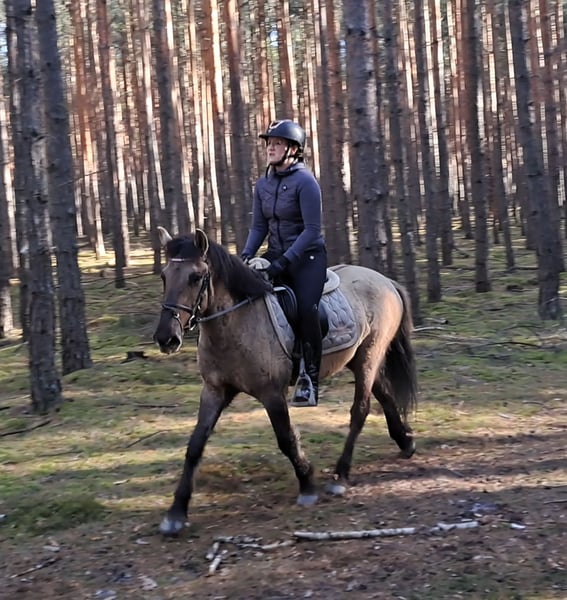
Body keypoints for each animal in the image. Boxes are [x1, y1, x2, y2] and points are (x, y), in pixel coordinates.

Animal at [153, 227, 418, 535]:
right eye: (164, 276)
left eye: (195, 277)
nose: (166, 338)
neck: (236, 320)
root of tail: (386, 281)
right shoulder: (214, 390)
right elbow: (195, 445)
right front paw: (176, 513)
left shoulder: (271, 393)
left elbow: (286, 438)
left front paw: (307, 484)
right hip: (359, 359)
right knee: (384, 394)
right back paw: (405, 441)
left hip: (369, 356)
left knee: (360, 411)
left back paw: (340, 475)